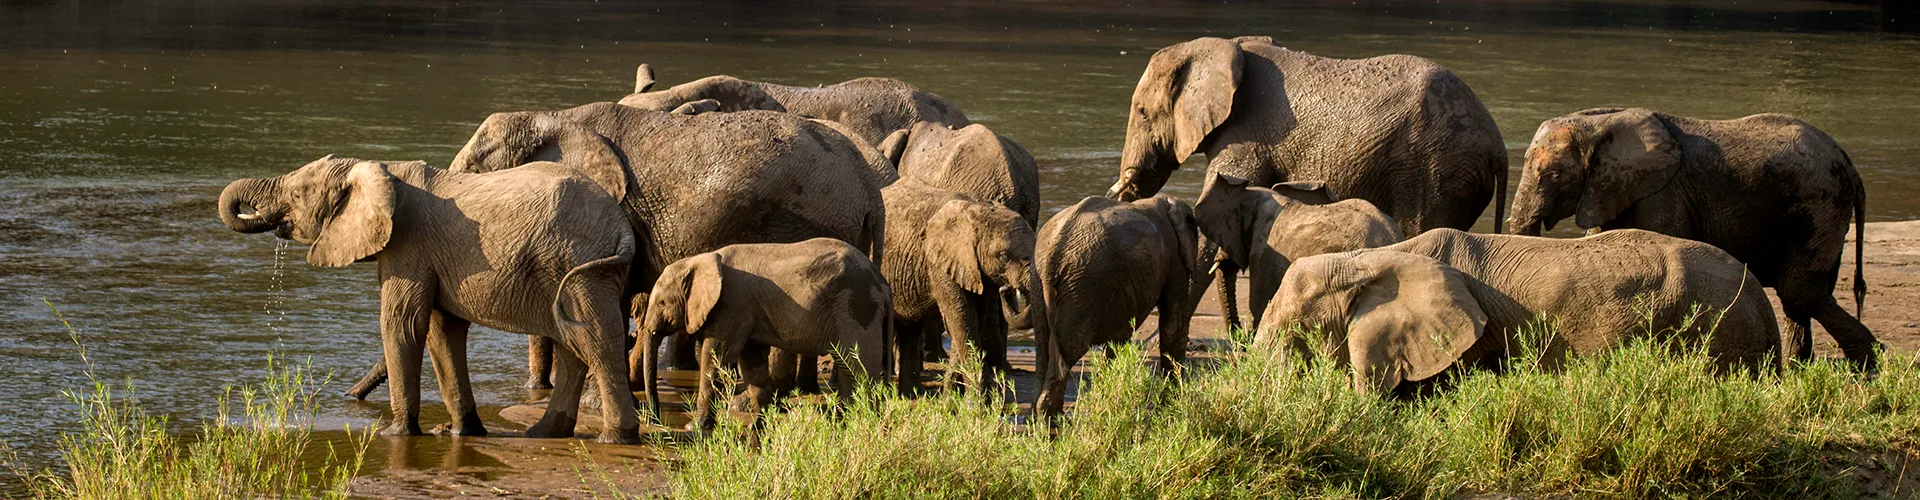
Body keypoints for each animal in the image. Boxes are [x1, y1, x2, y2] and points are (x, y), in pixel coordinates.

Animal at [217, 155, 643, 443]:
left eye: (295, 193)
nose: (348, 399)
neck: (378, 168)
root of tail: (622, 225)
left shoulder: (409, 247)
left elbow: (403, 324)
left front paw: (395, 434)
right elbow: (442, 331)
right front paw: (463, 432)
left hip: (582, 267)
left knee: (596, 340)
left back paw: (615, 438)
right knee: (576, 346)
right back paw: (543, 434)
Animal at [638, 238, 892, 431]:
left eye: (661, 303)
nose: (656, 422)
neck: (701, 259)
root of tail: (882, 281)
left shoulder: (733, 306)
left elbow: (715, 360)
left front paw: (695, 428)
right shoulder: (747, 312)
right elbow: (752, 364)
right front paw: (759, 424)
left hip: (857, 309)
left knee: (859, 368)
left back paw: (865, 421)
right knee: (850, 369)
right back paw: (848, 421)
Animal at [879, 178, 1035, 398]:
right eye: (1004, 256)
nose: (1005, 289)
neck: (980, 209)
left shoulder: (978, 271)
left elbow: (971, 323)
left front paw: (951, 398)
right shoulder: (940, 262)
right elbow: (962, 320)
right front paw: (975, 402)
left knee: (910, 328)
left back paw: (910, 396)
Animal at [1031, 195, 1204, 418]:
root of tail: (1053, 251)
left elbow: (1118, 338)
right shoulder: (1174, 257)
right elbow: (1173, 324)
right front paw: (1172, 403)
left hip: (1040, 282)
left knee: (1043, 344)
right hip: (1081, 285)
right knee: (1070, 348)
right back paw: (1056, 417)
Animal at [1508, 107, 1878, 371]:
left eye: (1554, 174)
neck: (1599, 123)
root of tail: (1849, 164)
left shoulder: (1666, 193)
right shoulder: (1614, 187)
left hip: (1821, 204)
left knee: (1798, 291)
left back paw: (1868, 366)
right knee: (1800, 298)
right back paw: (1803, 368)